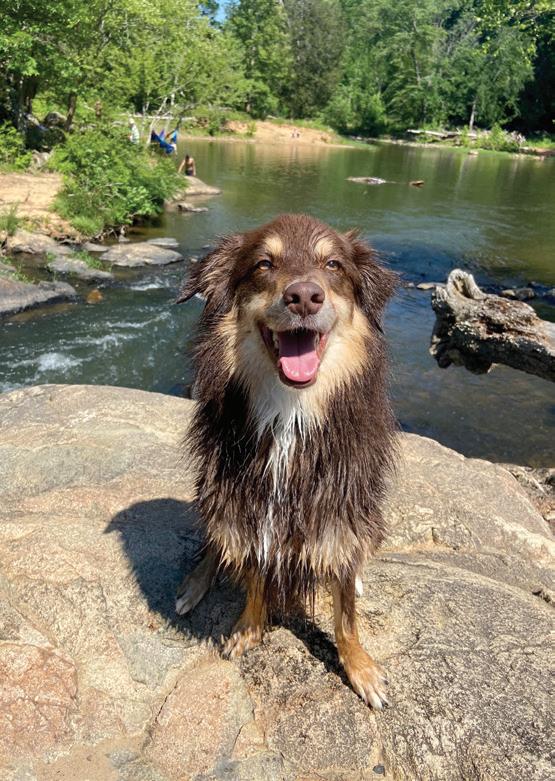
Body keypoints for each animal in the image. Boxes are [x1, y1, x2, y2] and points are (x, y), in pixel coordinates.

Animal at [176, 214, 397, 709]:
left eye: (333, 265)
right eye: (264, 264)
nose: (304, 296)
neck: (290, 413)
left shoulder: (342, 511)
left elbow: (346, 616)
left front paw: (360, 668)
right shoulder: (247, 505)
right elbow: (255, 575)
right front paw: (248, 628)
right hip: (212, 493)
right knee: (214, 546)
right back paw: (195, 584)